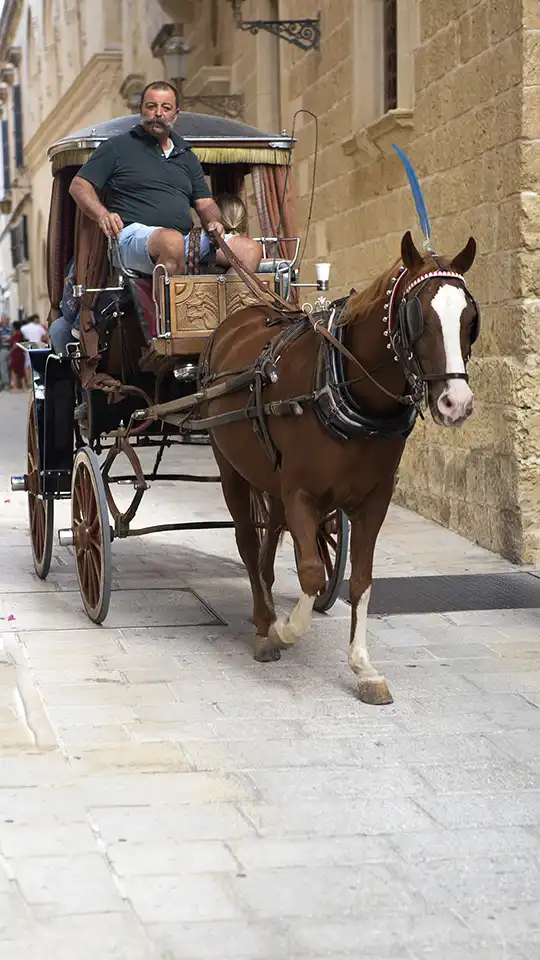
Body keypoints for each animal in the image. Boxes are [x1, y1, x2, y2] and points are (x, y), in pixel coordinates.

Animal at [200, 229, 478, 700]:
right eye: (417, 316)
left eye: (470, 319)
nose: (455, 404)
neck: (343, 385)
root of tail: (238, 319)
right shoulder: (301, 492)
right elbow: (312, 573)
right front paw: (283, 632)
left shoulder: (374, 499)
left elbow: (361, 579)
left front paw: (363, 666)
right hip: (231, 469)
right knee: (247, 540)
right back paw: (264, 624)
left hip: (270, 478)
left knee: (269, 536)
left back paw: (266, 602)